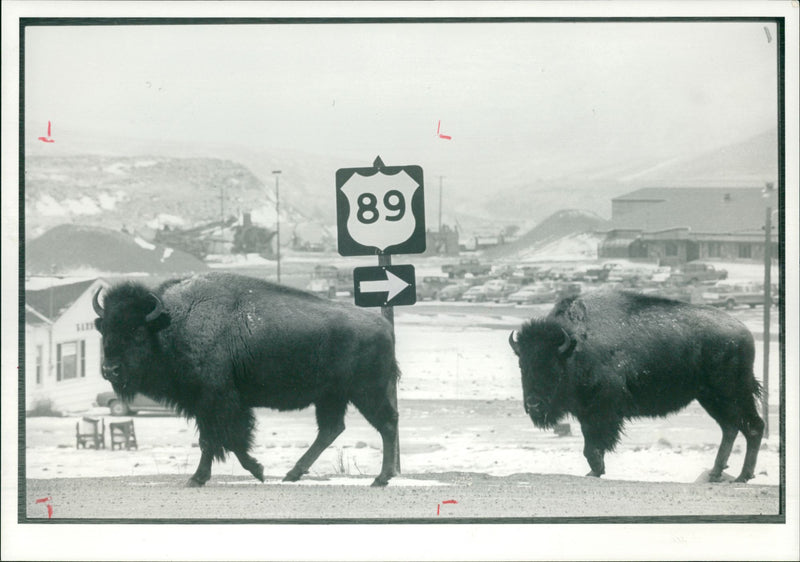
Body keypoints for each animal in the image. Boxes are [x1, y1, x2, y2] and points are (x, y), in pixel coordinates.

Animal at [93, 272, 400, 486]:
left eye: (136, 331)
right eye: (105, 328)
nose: (110, 370)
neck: (171, 324)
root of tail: (385, 326)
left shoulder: (216, 401)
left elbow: (218, 440)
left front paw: (200, 478)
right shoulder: (211, 405)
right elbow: (226, 440)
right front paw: (257, 471)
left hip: (366, 392)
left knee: (386, 423)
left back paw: (380, 479)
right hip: (332, 397)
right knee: (331, 429)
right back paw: (292, 474)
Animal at [510, 288, 764, 482]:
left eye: (552, 367)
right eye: (522, 365)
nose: (533, 405)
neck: (574, 347)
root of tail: (744, 332)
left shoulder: (601, 411)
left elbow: (593, 445)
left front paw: (595, 472)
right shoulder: (586, 412)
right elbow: (590, 443)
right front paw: (595, 471)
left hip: (731, 393)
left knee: (752, 427)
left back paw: (742, 476)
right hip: (710, 398)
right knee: (731, 428)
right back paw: (716, 473)